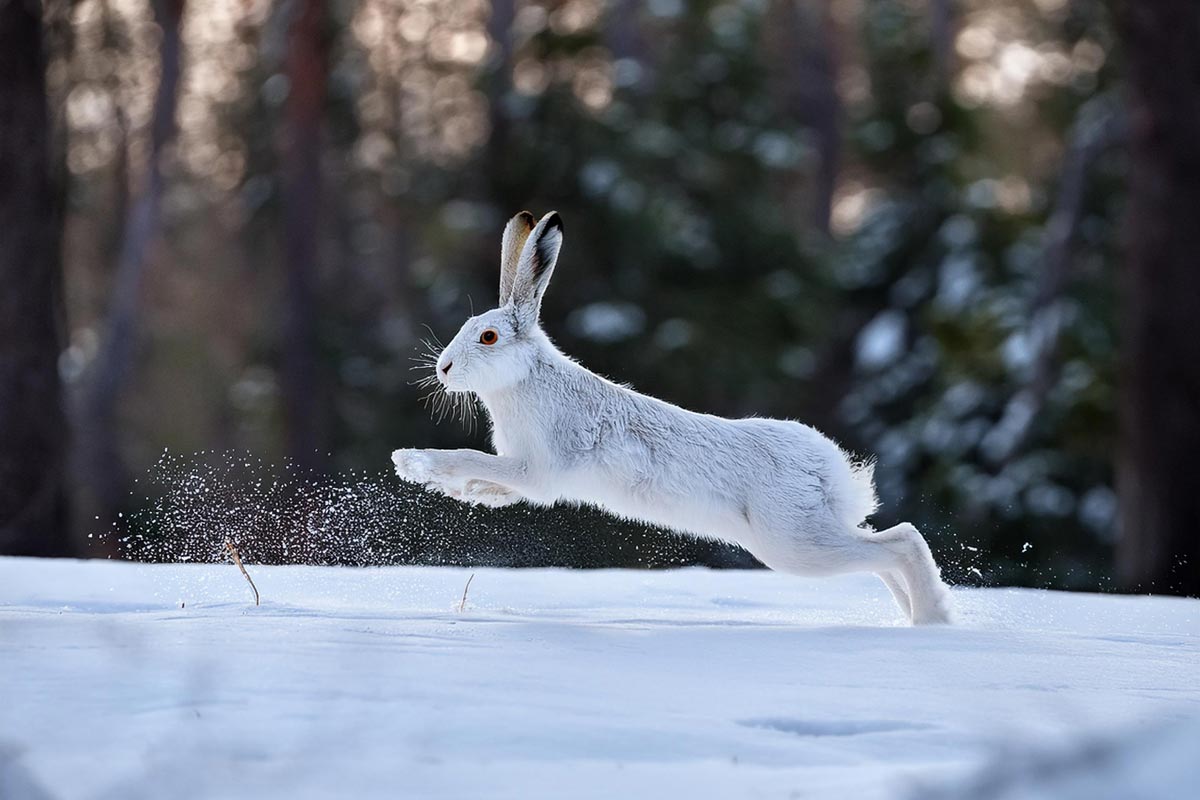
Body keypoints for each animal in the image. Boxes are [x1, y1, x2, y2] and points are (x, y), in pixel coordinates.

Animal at [392, 211, 954, 625]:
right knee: (884, 551)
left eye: (488, 337)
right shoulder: (523, 476)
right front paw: (452, 487)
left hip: (793, 543)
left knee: (902, 542)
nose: (443, 368)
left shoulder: (539, 468)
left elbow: (471, 458)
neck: (523, 379)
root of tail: (832, 473)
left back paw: (934, 622)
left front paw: (414, 461)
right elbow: (490, 483)